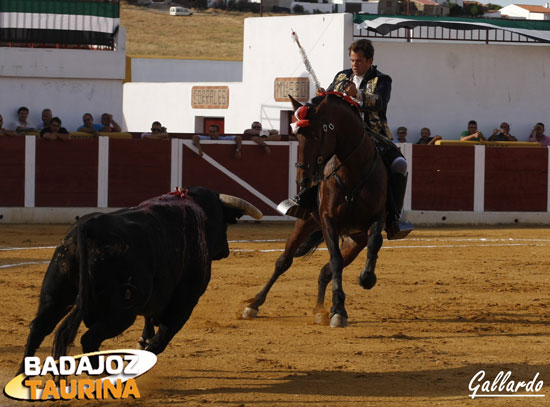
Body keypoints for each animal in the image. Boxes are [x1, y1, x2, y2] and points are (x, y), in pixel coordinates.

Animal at [18, 186, 264, 374]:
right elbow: (164, 334)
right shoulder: (186, 300)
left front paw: (143, 340)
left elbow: (149, 318)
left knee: (38, 328)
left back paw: (24, 374)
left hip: (55, 292)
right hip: (121, 312)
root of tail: (88, 228)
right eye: (224, 222)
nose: (226, 249)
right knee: (89, 339)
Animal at [244, 93, 390, 328]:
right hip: (306, 222)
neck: (353, 171)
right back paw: (254, 304)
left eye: (315, 135)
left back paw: (320, 310)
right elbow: (335, 260)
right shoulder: (328, 219)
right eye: (297, 136)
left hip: (354, 240)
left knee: (325, 271)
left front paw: (365, 279)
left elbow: (375, 242)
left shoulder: (378, 216)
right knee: (284, 262)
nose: (302, 180)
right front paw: (339, 310)